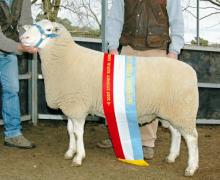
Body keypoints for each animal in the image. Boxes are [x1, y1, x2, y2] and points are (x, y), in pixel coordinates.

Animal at [20, 19, 199, 176]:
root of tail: (191, 71)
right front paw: (70, 152)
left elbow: (78, 133)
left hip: (183, 111)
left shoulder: (78, 106)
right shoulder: (71, 105)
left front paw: (78, 157)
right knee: (176, 133)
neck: (66, 58)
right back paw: (171, 157)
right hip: (171, 111)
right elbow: (70, 131)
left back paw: (191, 167)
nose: (23, 38)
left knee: (191, 138)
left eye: (49, 29)